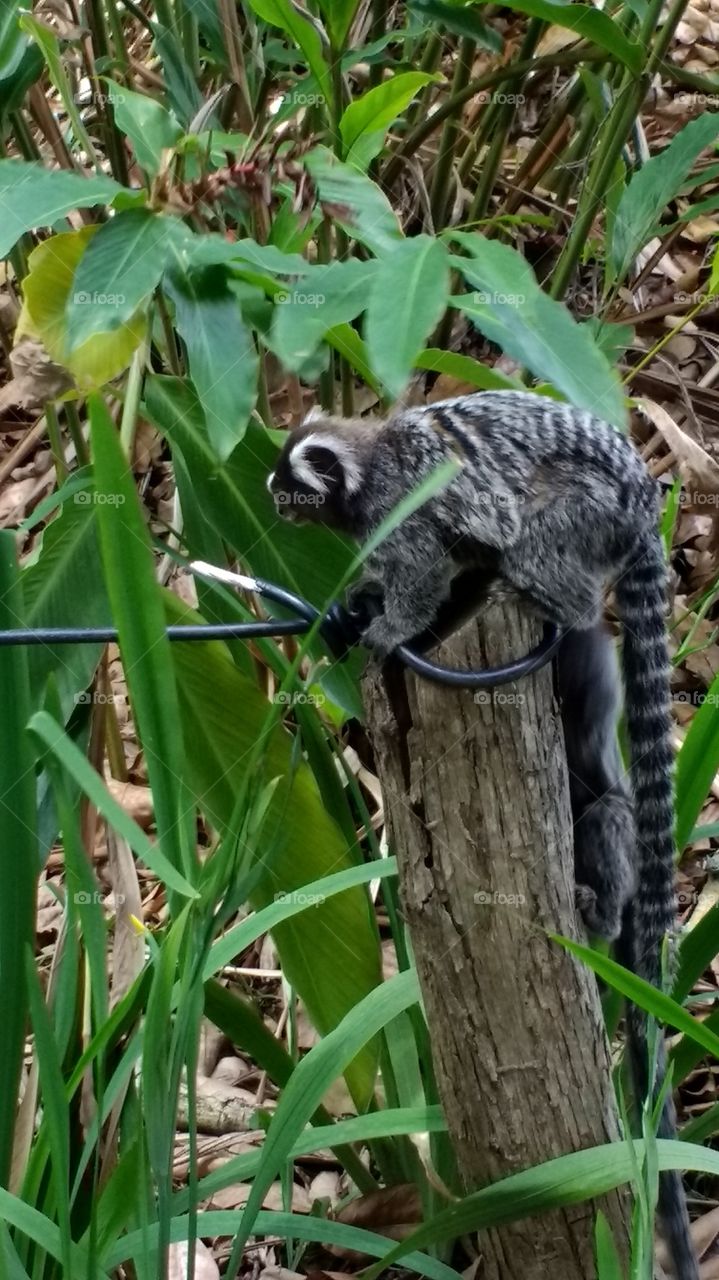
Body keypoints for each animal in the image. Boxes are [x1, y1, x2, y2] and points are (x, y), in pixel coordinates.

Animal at [267, 390, 697, 1278]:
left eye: (290, 481)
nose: (270, 499)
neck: (367, 468)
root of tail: (642, 490)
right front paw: (354, 611)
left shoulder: (403, 509)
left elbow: (426, 568)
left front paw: (387, 628)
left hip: (586, 514)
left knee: (533, 545)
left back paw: (545, 600)